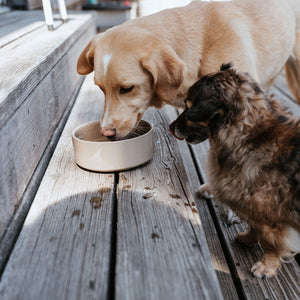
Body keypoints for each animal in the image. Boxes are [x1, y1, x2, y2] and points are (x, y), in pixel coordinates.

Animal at [169, 63, 300, 278]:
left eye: (188, 107)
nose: (171, 127)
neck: (249, 134)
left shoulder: (272, 218)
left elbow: (270, 241)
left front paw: (267, 265)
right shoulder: (254, 209)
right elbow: (255, 228)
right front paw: (247, 238)